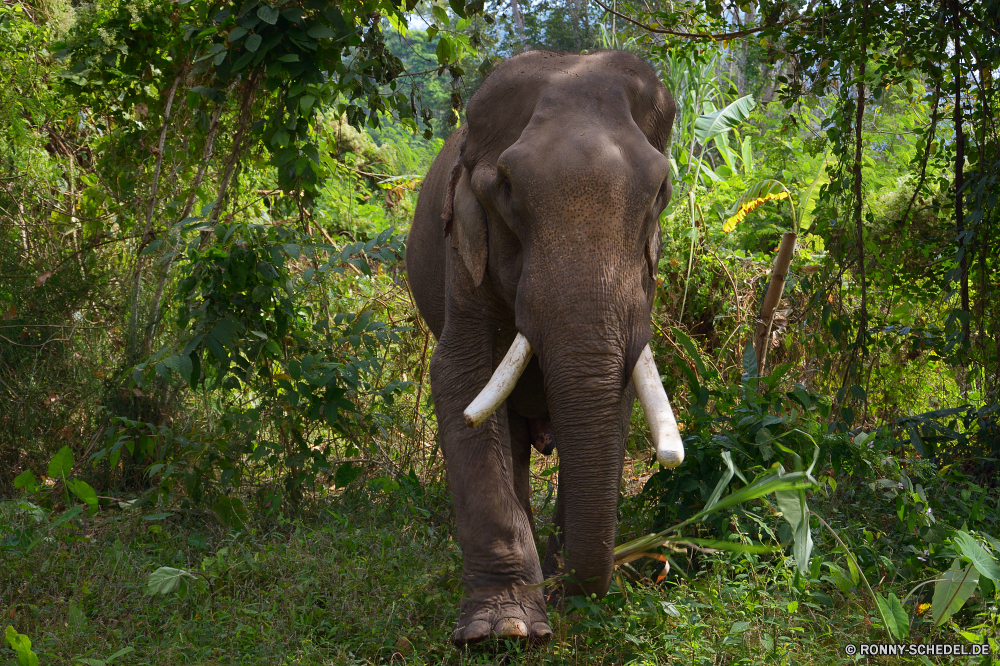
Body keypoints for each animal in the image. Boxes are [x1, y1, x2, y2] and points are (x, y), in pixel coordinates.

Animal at [406, 49, 688, 644]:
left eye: (660, 193)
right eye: (507, 189)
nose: (564, 595)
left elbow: (620, 390)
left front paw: (555, 590)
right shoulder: (464, 250)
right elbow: (462, 378)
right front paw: (504, 629)